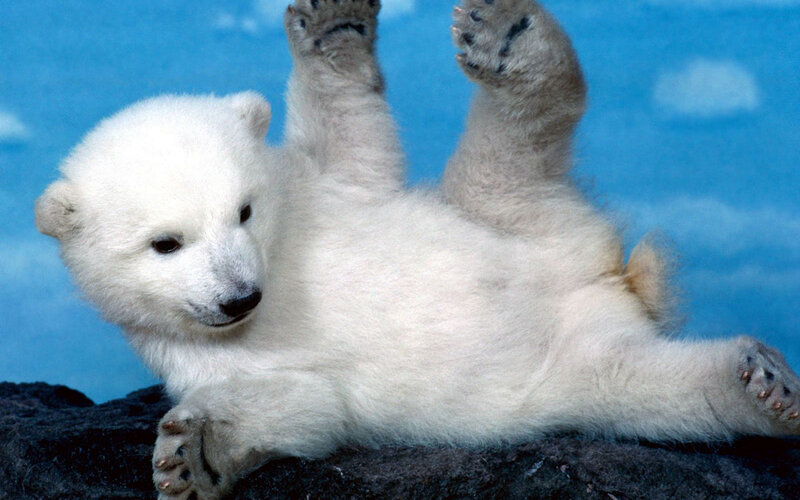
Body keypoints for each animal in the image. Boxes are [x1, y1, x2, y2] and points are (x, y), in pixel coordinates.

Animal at [34, 0, 799, 498]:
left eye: (244, 210)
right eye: (164, 244)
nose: (240, 297)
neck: (279, 267)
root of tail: (609, 278)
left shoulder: (325, 192)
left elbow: (353, 137)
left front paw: (333, 22)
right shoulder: (198, 352)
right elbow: (301, 404)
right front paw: (193, 455)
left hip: (505, 218)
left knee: (517, 139)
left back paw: (509, 35)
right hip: (574, 358)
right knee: (656, 390)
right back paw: (761, 384)